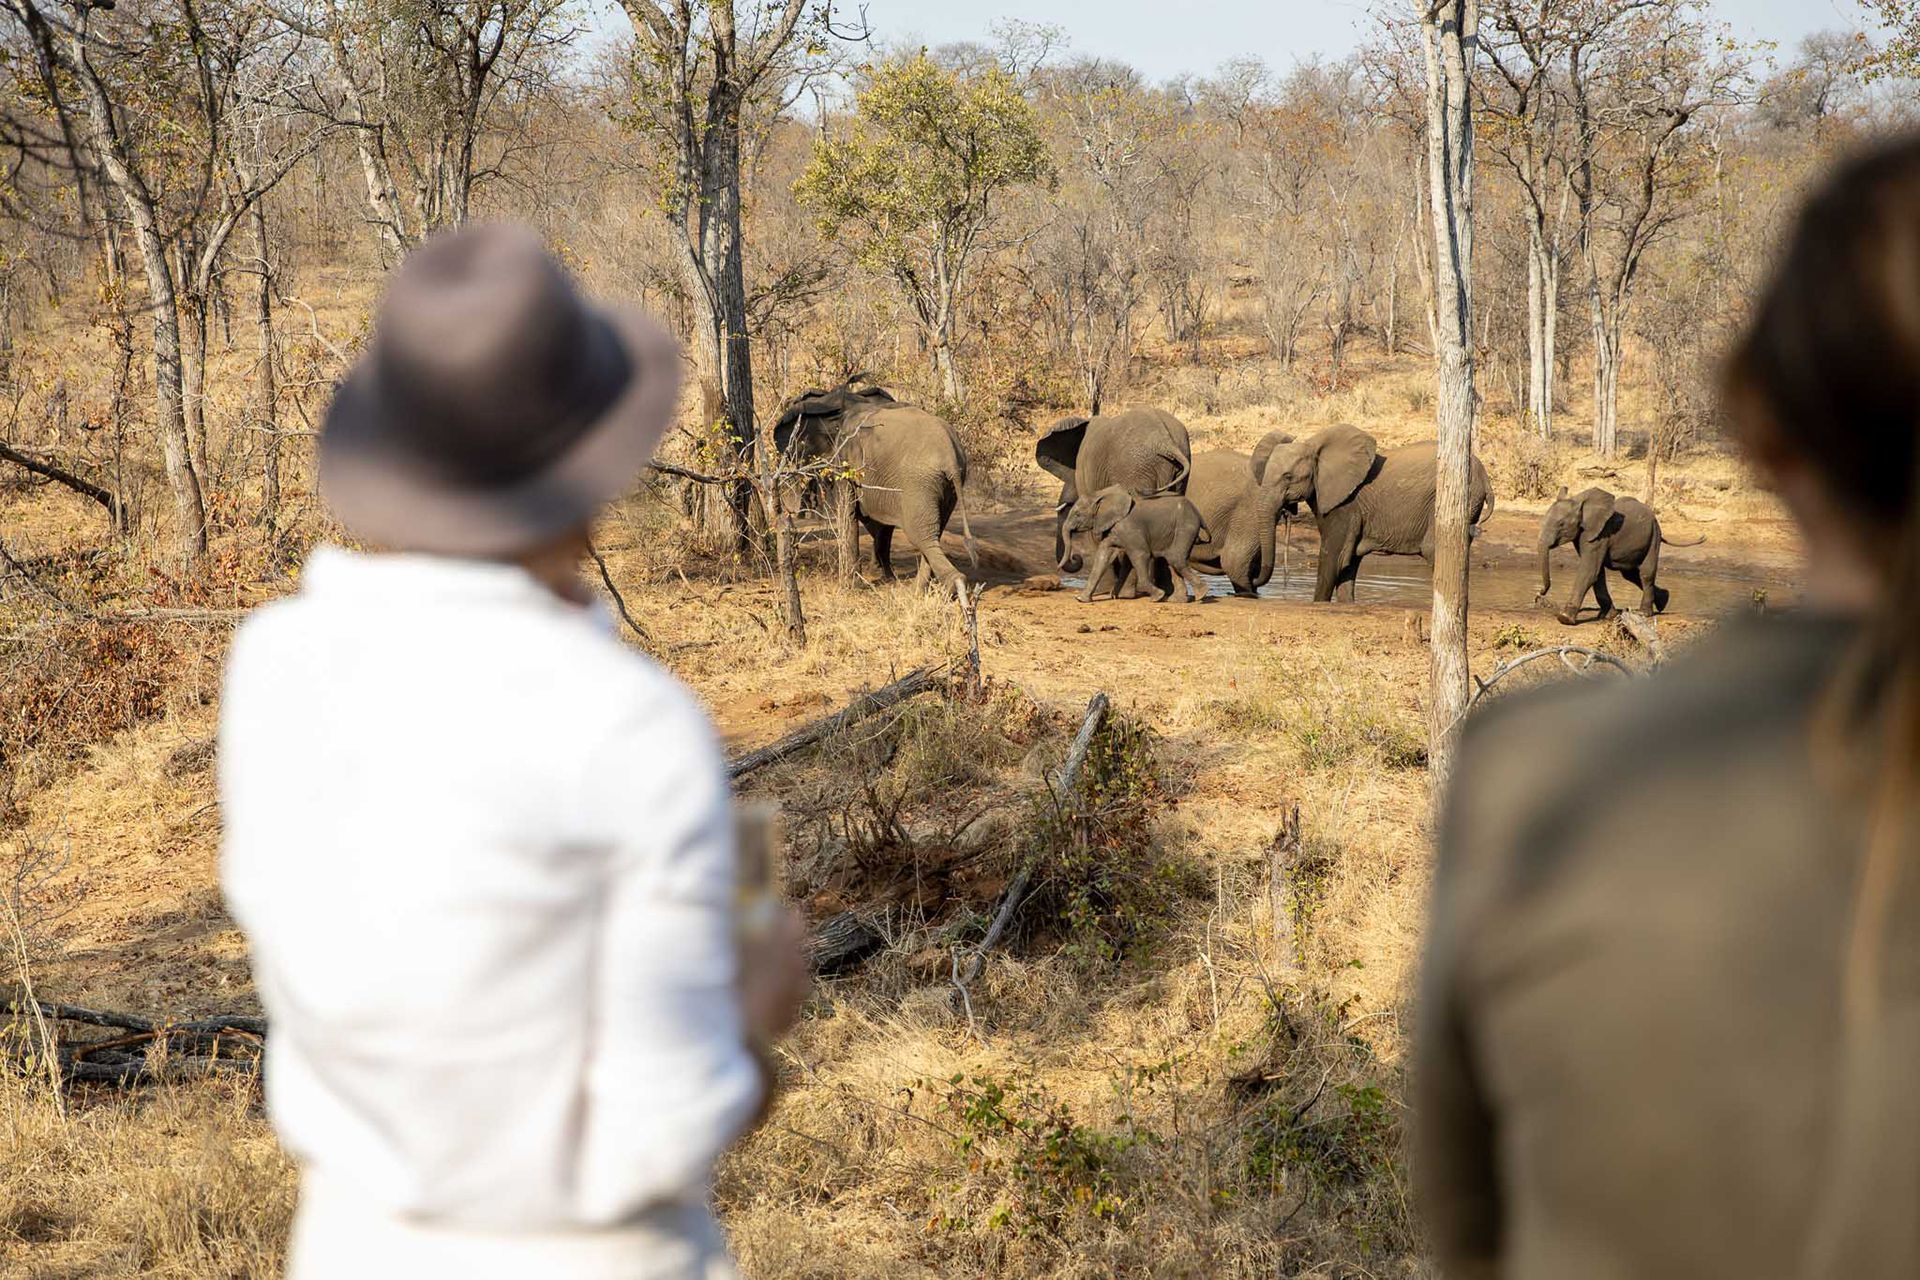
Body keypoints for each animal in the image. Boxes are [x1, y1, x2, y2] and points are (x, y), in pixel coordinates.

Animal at [772, 379, 974, 591]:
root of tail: (951, 457)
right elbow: (878, 522)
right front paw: (886, 576)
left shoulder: (848, 458)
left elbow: (849, 514)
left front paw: (851, 585)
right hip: (945, 486)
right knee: (934, 533)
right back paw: (921, 589)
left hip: (919, 483)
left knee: (921, 534)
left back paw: (950, 585)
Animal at [1062, 486, 1211, 604]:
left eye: (1077, 514)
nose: (1075, 557)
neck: (1101, 494)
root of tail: (1197, 511)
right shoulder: (1112, 528)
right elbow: (1103, 556)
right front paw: (1081, 599)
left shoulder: (1129, 527)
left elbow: (1140, 554)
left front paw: (1157, 597)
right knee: (1171, 559)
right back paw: (1177, 600)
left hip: (1186, 526)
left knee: (1175, 558)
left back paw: (1201, 594)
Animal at [1252, 423, 1494, 603]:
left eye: (1288, 477)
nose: (1253, 583)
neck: (1315, 447)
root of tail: (1485, 477)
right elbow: (1348, 564)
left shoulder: (1345, 504)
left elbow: (1334, 558)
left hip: (1460, 498)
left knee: (1433, 550)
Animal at [1536, 486, 1705, 624]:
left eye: (1561, 525)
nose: (1539, 595)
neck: (1579, 502)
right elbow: (1597, 574)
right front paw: (1608, 616)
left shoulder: (1600, 534)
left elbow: (1588, 571)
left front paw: (1564, 618)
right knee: (1630, 574)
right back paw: (1664, 600)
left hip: (1654, 535)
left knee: (1646, 574)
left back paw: (1644, 613)